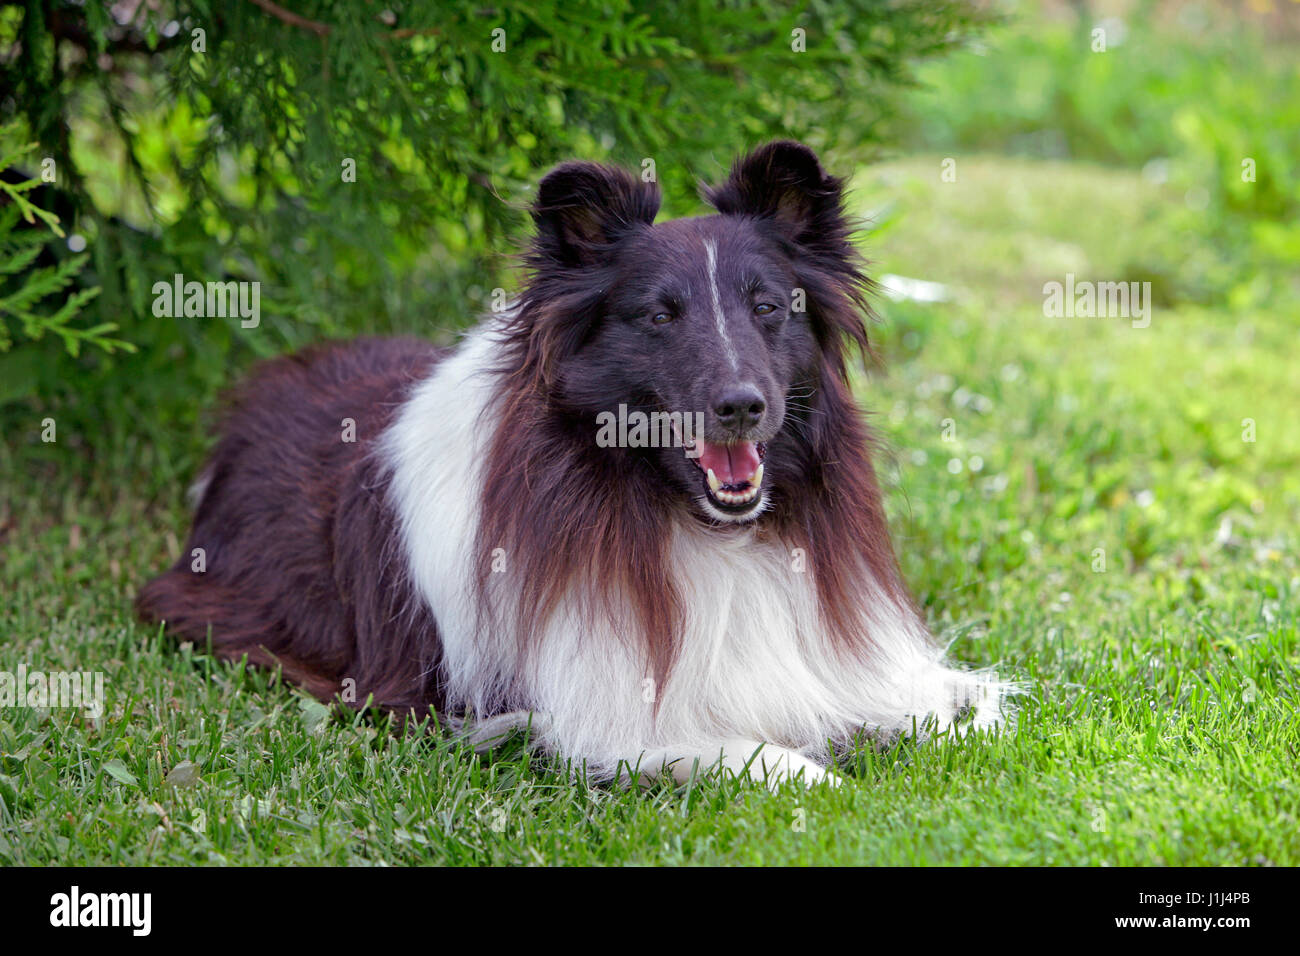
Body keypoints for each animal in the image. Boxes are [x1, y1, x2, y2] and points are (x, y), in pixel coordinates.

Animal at [139, 140, 1013, 785]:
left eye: (769, 307)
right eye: (659, 316)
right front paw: (824, 779)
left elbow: (968, 704)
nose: (740, 406)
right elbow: (754, 754)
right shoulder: (590, 716)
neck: (683, 518)